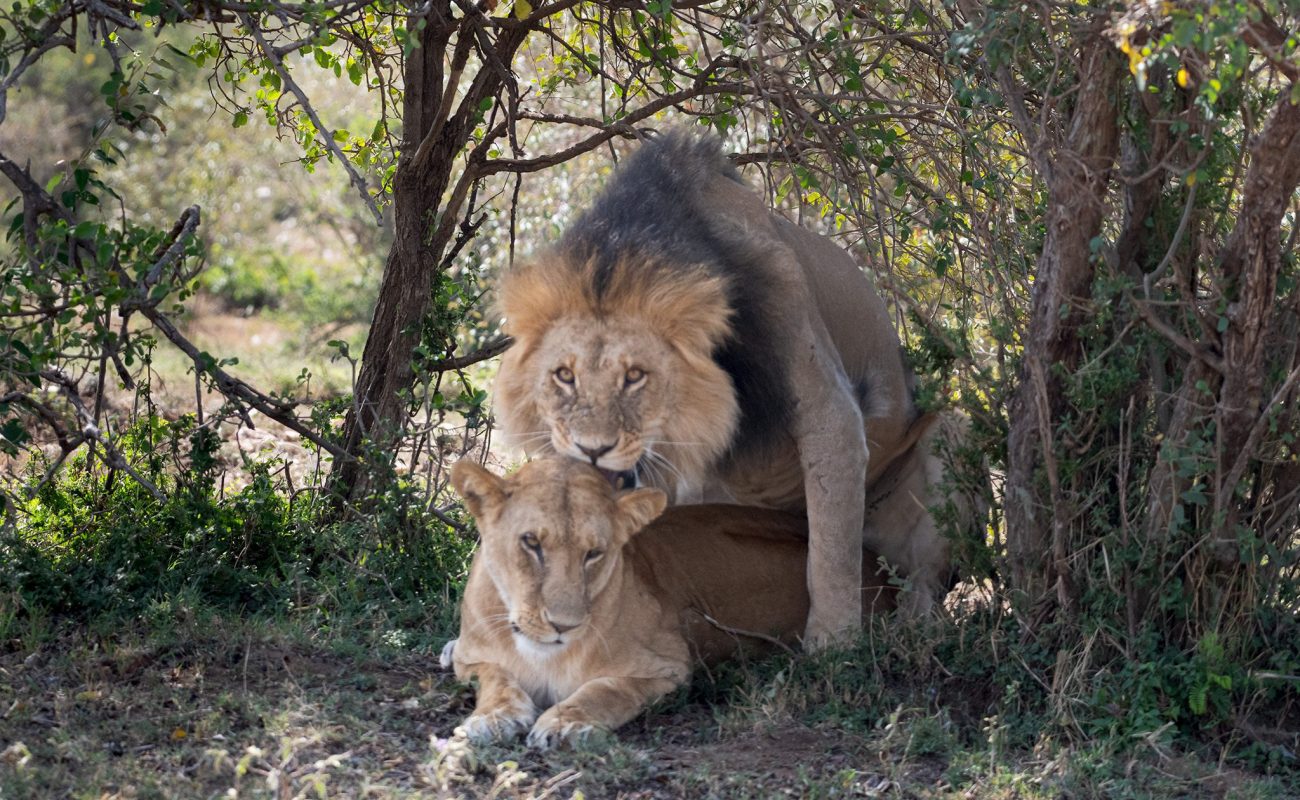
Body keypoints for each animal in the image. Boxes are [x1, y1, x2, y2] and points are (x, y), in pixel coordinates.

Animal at [445, 457, 895, 749]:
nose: (563, 626)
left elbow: (607, 690)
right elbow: (497, 678)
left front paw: (566, 723)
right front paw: (492, 718)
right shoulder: (475, 658)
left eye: (594, 553)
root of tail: (881, 570)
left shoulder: (669, 667)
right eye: (531, 543)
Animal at [494, 130, 953, 641]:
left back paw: (916, 624)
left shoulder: (829, 407)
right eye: (564, 376)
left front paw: (833, 643)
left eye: (635, 376)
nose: (591, 449)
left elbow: (831, 553)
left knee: (921, 576)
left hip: (948, 436)